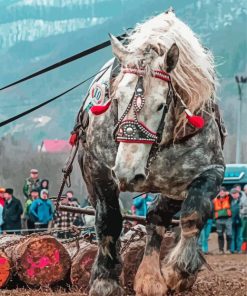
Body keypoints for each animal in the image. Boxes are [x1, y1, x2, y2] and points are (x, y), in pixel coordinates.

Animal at [76, 9, 227, 296]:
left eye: (159, 105)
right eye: (116, 99)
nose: (127, 173)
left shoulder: (210, 171)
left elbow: (193, 215)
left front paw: (179, 271)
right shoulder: (97, 168)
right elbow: (108, 220)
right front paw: (105, 280)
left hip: (172, 188)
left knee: (157, 216)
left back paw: (150, 276)